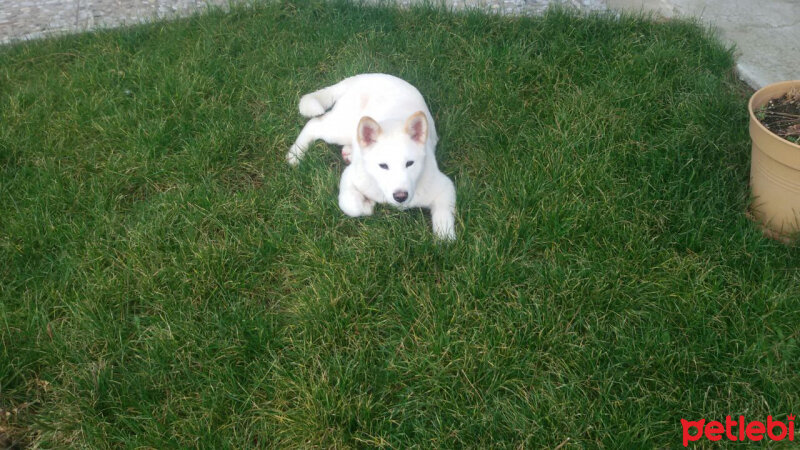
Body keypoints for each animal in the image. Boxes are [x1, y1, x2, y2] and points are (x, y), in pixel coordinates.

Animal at [290, 74, 456, 241]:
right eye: (383, 166)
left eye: (410, 163)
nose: (400, 196)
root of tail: (361, 77)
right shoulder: (350, 176)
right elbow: (350, 204)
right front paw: (367, 206)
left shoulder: (444, 186)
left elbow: (444, 216)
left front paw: (445, 238)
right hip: (341, 128)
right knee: (314, 124)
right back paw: (295, 154)